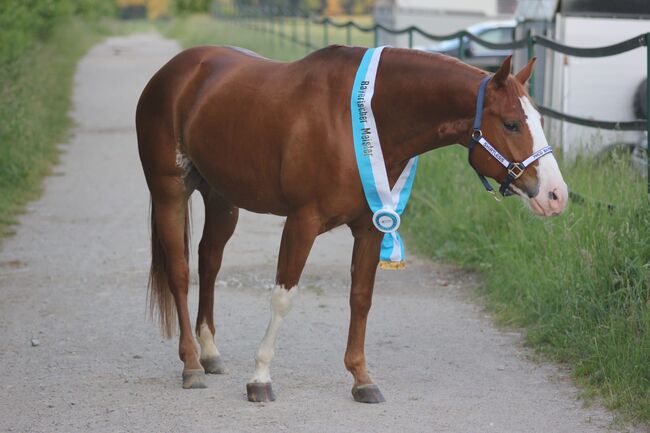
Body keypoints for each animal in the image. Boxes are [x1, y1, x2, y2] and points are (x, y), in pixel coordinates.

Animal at [137, 44, 568, 402]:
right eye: (511, 123)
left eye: (538, 119)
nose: (556, 195)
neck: (358, 120)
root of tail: (176, 71)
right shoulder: (302, 222)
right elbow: (283, 297)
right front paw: (260, 378)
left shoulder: (372, 226)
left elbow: (361, 297)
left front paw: (362, 379)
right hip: (170, 193)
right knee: (180, 271)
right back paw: (191, 364)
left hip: (221, 198)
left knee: (209, 262)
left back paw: (209, 352)